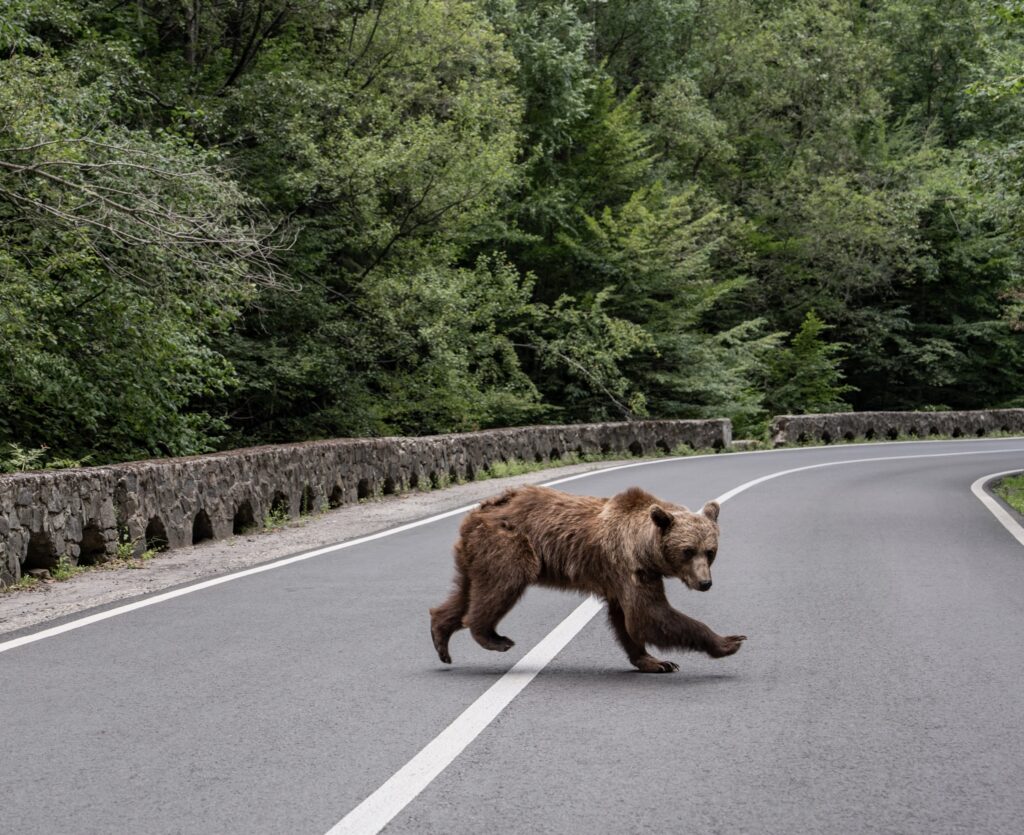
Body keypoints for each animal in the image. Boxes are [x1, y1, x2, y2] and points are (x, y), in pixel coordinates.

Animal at [429, 484, 746, 673]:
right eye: (687, 551)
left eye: (710, 551)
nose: (704, 583)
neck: (645, 549)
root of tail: (479, 510)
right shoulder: (629, 567)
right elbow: (648, 615)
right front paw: (729, 641)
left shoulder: (624, 578)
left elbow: (626, 620)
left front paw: (654, 661)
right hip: (508, 544)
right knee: (502, 585)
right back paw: (495, 638)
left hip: (473, 554)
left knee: (466, 593)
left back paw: (441, 635)